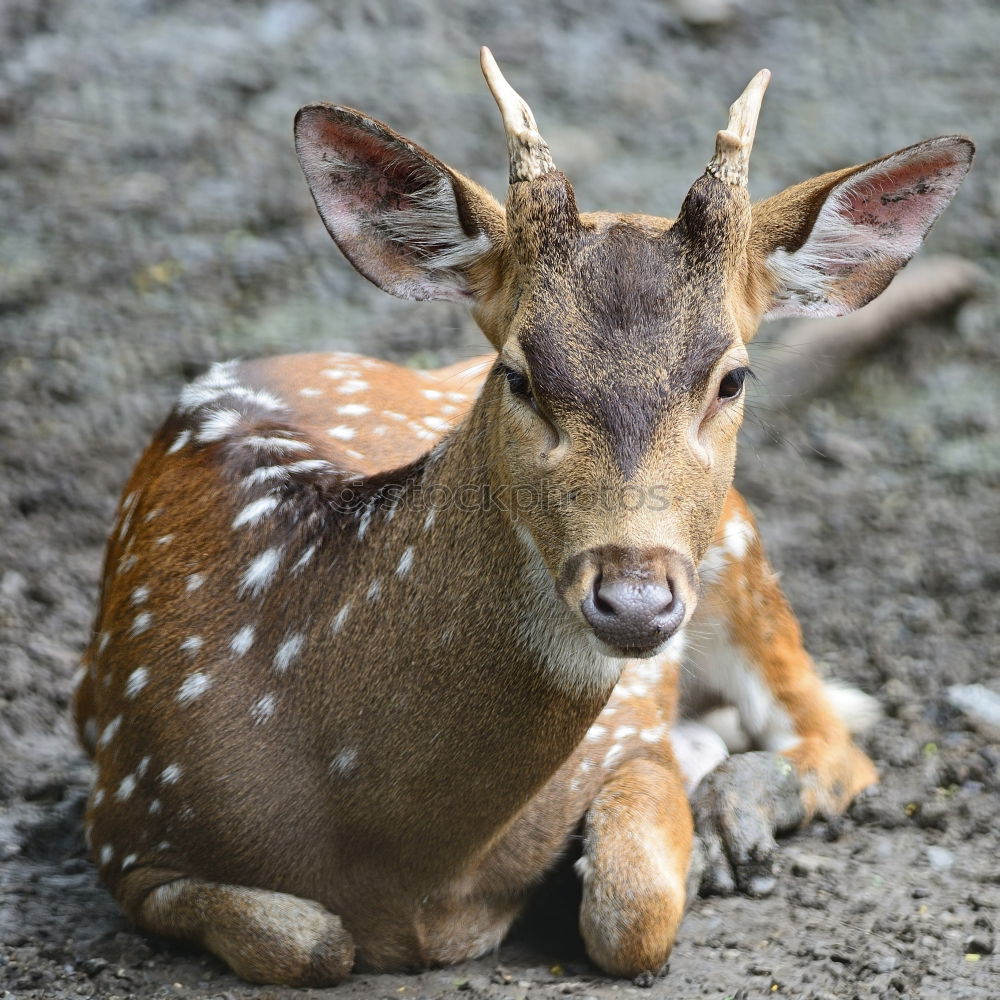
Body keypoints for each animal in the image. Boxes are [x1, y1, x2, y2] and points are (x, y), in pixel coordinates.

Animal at [72, 47, 976, 984]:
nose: (634, 600)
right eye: (518, 374)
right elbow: (310, 940)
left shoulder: (628, 735)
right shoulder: (125, 818)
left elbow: (631, 909)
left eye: (732, 377)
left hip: (738, 539)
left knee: (833, 736)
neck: (399, 867)